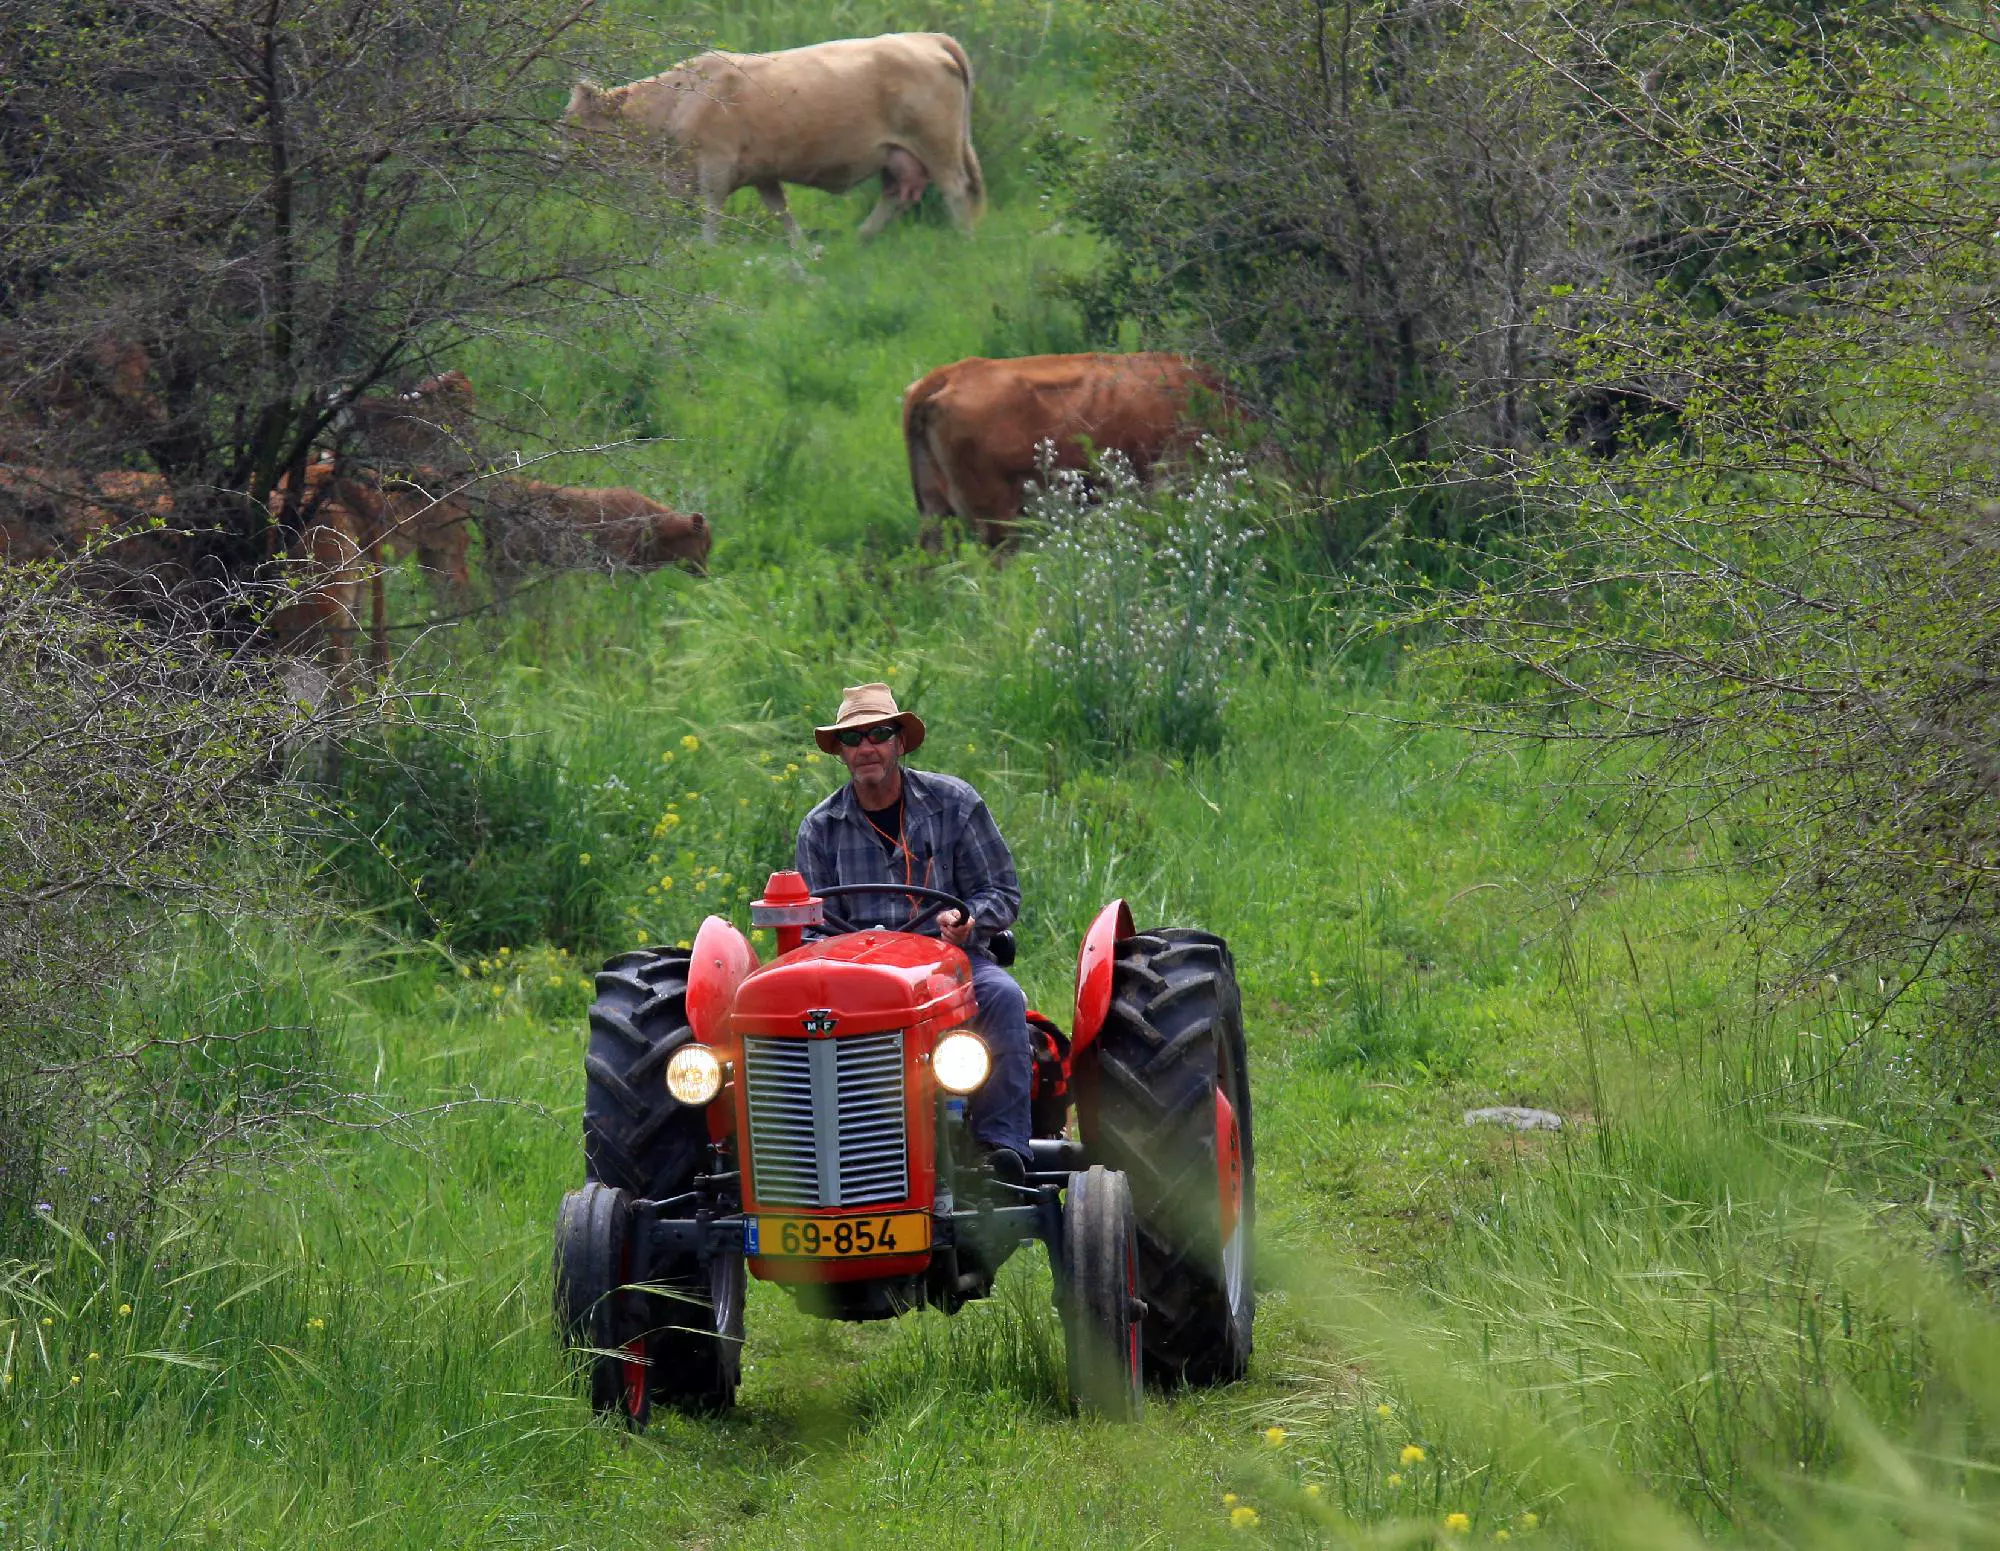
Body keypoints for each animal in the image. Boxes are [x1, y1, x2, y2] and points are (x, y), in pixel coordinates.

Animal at [564, 34, 984, 245]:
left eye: (573, 124)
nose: (557, 157)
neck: (679, 98)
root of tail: (925, 37)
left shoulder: (714, 168)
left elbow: (711, 216)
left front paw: (707, 251)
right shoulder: (762, 172)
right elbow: (783, 213)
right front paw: (805, 252)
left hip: (939, 145)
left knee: (957, 192)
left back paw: (965, 243)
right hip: (897, 155)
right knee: (895, 194)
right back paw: (859, 239)